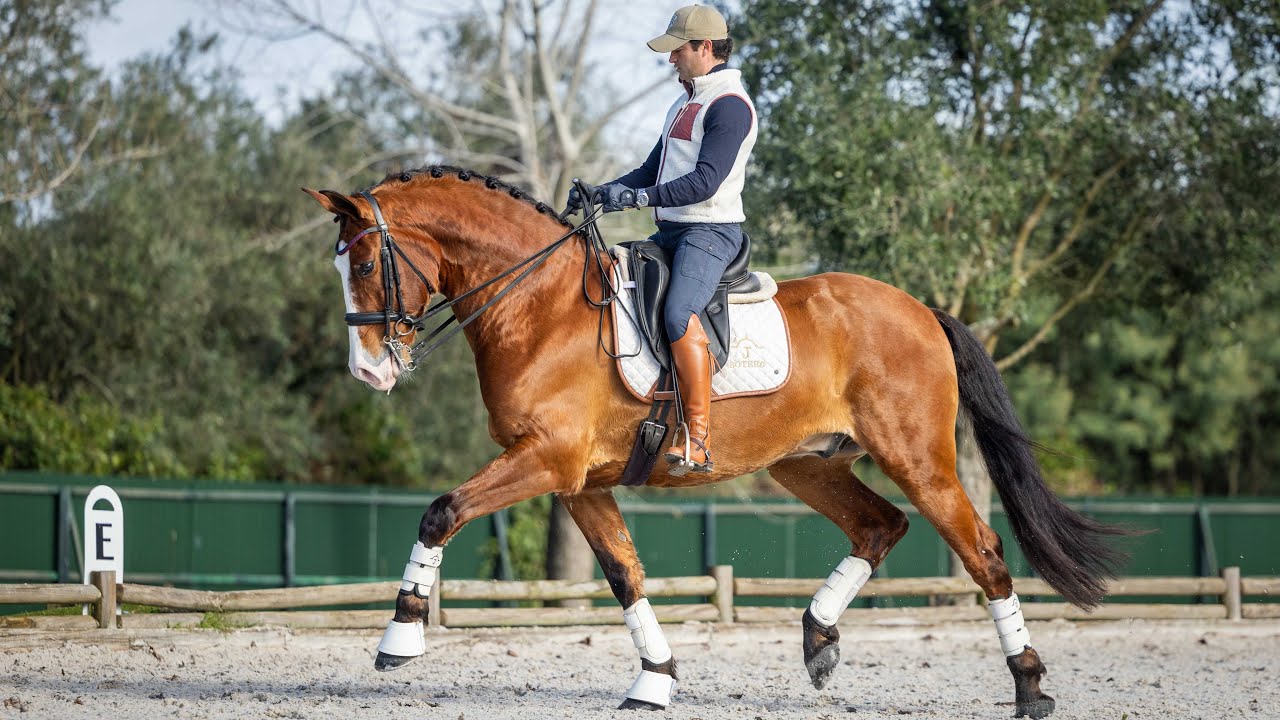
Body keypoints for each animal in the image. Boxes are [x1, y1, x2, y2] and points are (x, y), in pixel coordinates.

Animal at [302, 165, 1127, 718]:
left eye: (366, 262)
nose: (368, 371)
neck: (538, 303)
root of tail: (921, 310)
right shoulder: (580, 481)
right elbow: (625, 575)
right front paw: (655, 679)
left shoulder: (545, 459)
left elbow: (441, 510)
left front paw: (401, 637)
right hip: (807, 466)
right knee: (879, 525)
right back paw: (819, 640)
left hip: (919, 459)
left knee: (982, 551)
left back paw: (1030, 685)